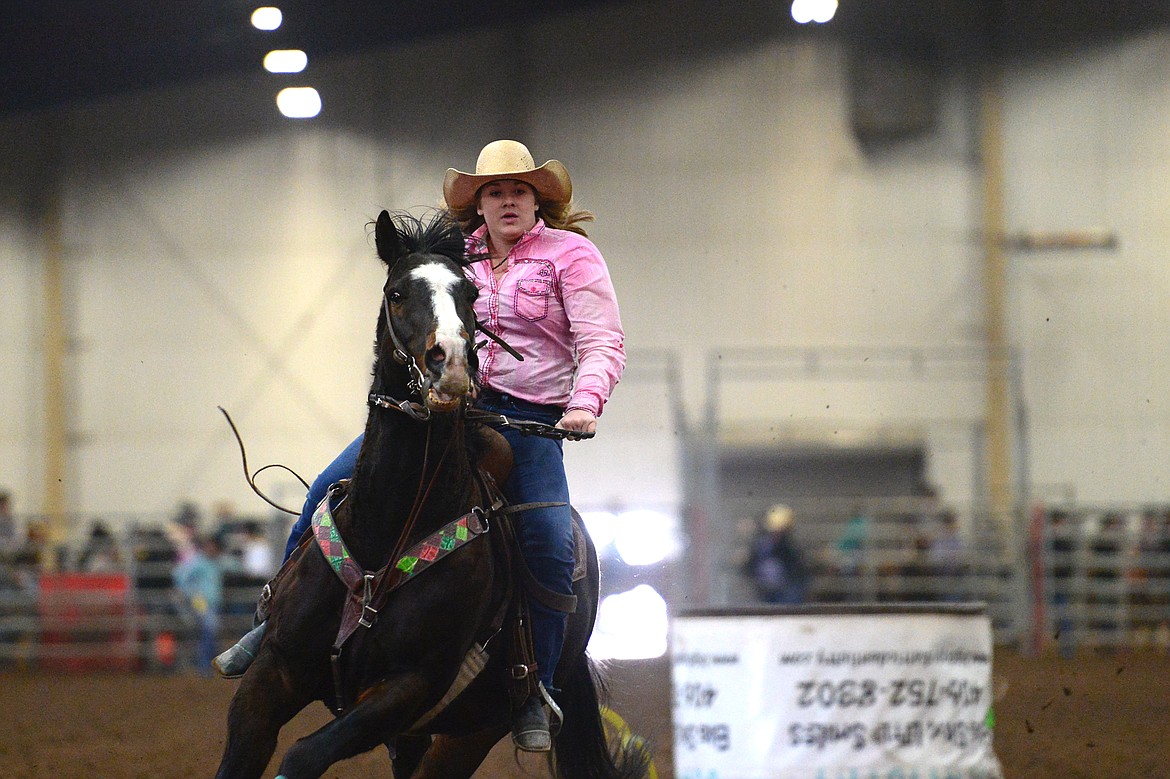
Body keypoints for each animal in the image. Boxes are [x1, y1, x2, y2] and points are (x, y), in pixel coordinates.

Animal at [216, 210, 655, 776]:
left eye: (469, 293)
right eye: (397, 291)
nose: (450, 364)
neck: (387, 533)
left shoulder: (409, 687)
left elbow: (304, 752)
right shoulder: (274, 670)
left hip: (471, 730)